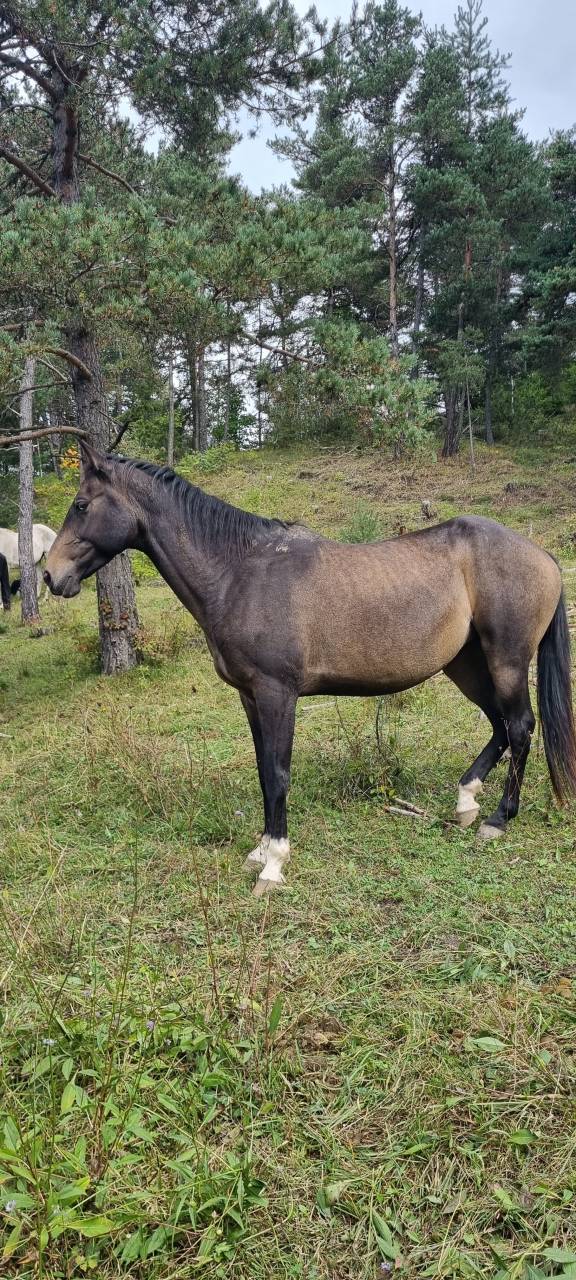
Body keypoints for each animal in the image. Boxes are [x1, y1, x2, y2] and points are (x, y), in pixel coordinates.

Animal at [44, 440, 576, 896]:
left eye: (82, 505)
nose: (51, 575)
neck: (239, 572)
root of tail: (544, 556)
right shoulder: (250, 696)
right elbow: (263, 771)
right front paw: (260, 852)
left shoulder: (277, 693)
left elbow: (279, 773)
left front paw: (274, 865)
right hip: (465, 665)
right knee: (500, 726)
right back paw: (466, 802)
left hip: (506, 660)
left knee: (520, 726)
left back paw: (498, 820)